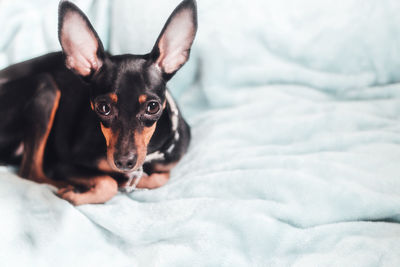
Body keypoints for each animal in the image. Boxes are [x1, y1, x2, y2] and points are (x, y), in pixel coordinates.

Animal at [0, 0, 197, 206]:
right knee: (30, 171)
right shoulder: (61, 165)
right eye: (104, 108)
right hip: (46, 87)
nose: (124, 162)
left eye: (153, 107)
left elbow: (159, 176)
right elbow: (108, 182)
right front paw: (79, 193)